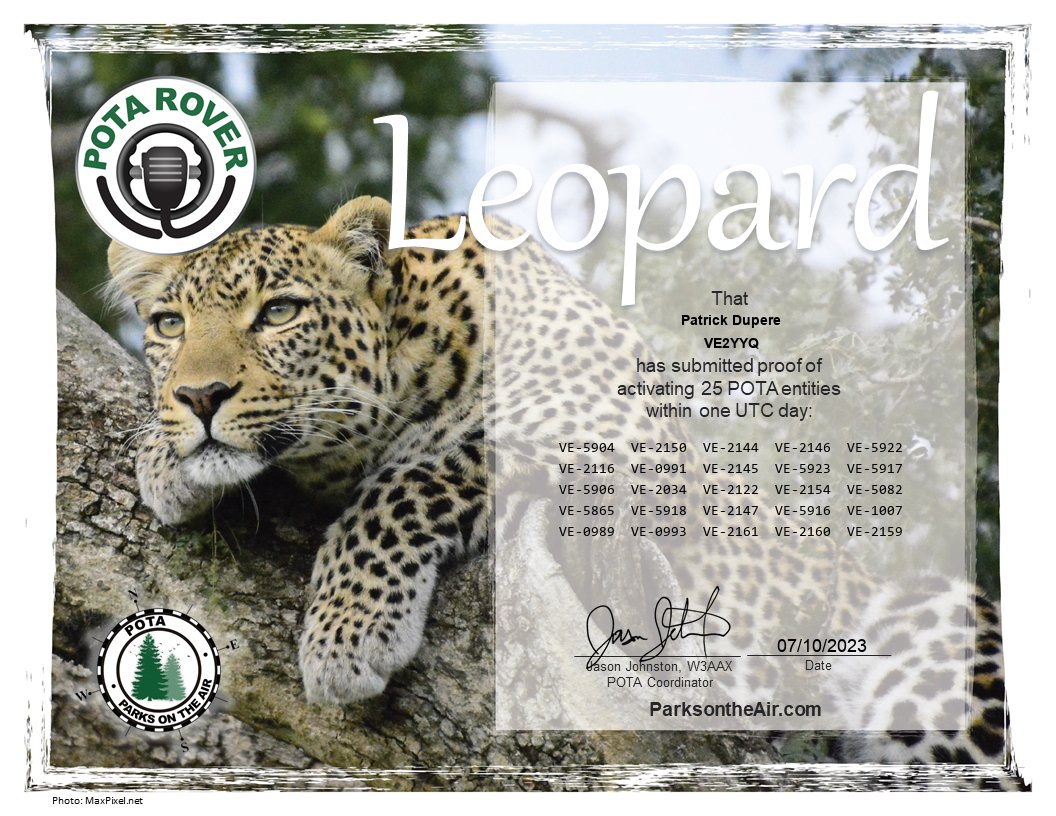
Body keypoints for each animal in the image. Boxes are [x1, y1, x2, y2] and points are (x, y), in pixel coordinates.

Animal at [107, 194, 1014, 783]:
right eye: (169, 326)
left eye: (280, 313)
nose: (198, 396)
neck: (417, 338)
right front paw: (164, 456)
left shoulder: (618, 438)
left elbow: (412, 477)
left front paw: (346, 633)